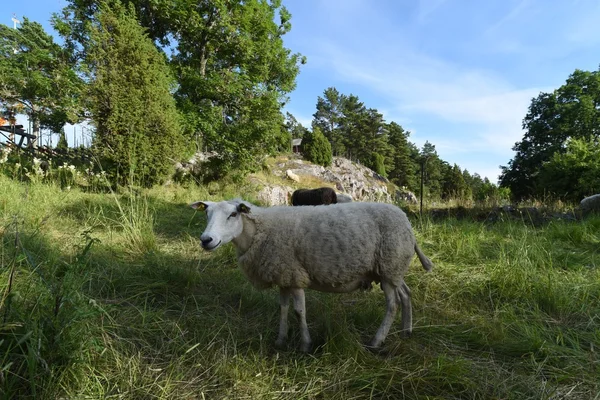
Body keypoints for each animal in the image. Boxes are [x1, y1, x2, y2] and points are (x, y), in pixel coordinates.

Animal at [190, 199, 434, 350]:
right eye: (206, 214)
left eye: (233, 214)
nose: (206, 240)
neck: (258, 232)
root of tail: (406, 221)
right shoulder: (283, 275)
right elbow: (283, 308)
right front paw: (281, 340)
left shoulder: (295, 275)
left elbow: (299, 311)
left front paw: (305, 344)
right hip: (392, 270)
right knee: (406, 294)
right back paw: (406, 331)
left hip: (389, 264)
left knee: (392, 304)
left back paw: (377, 340)